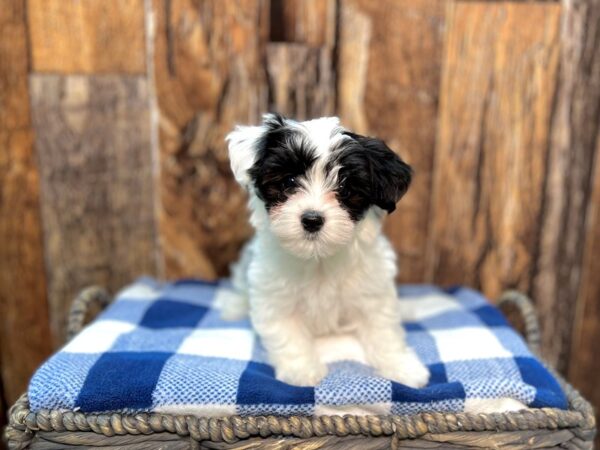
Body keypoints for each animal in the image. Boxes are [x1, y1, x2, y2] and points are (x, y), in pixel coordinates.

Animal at [223, 114, 428, 388]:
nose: (312, 219)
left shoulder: (373, 292)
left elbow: (384, 330)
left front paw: (402, 366)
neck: (318, 258)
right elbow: (288, 335)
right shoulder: (274, 298)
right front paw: (302, 371)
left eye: (345, 189)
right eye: (289, 182)